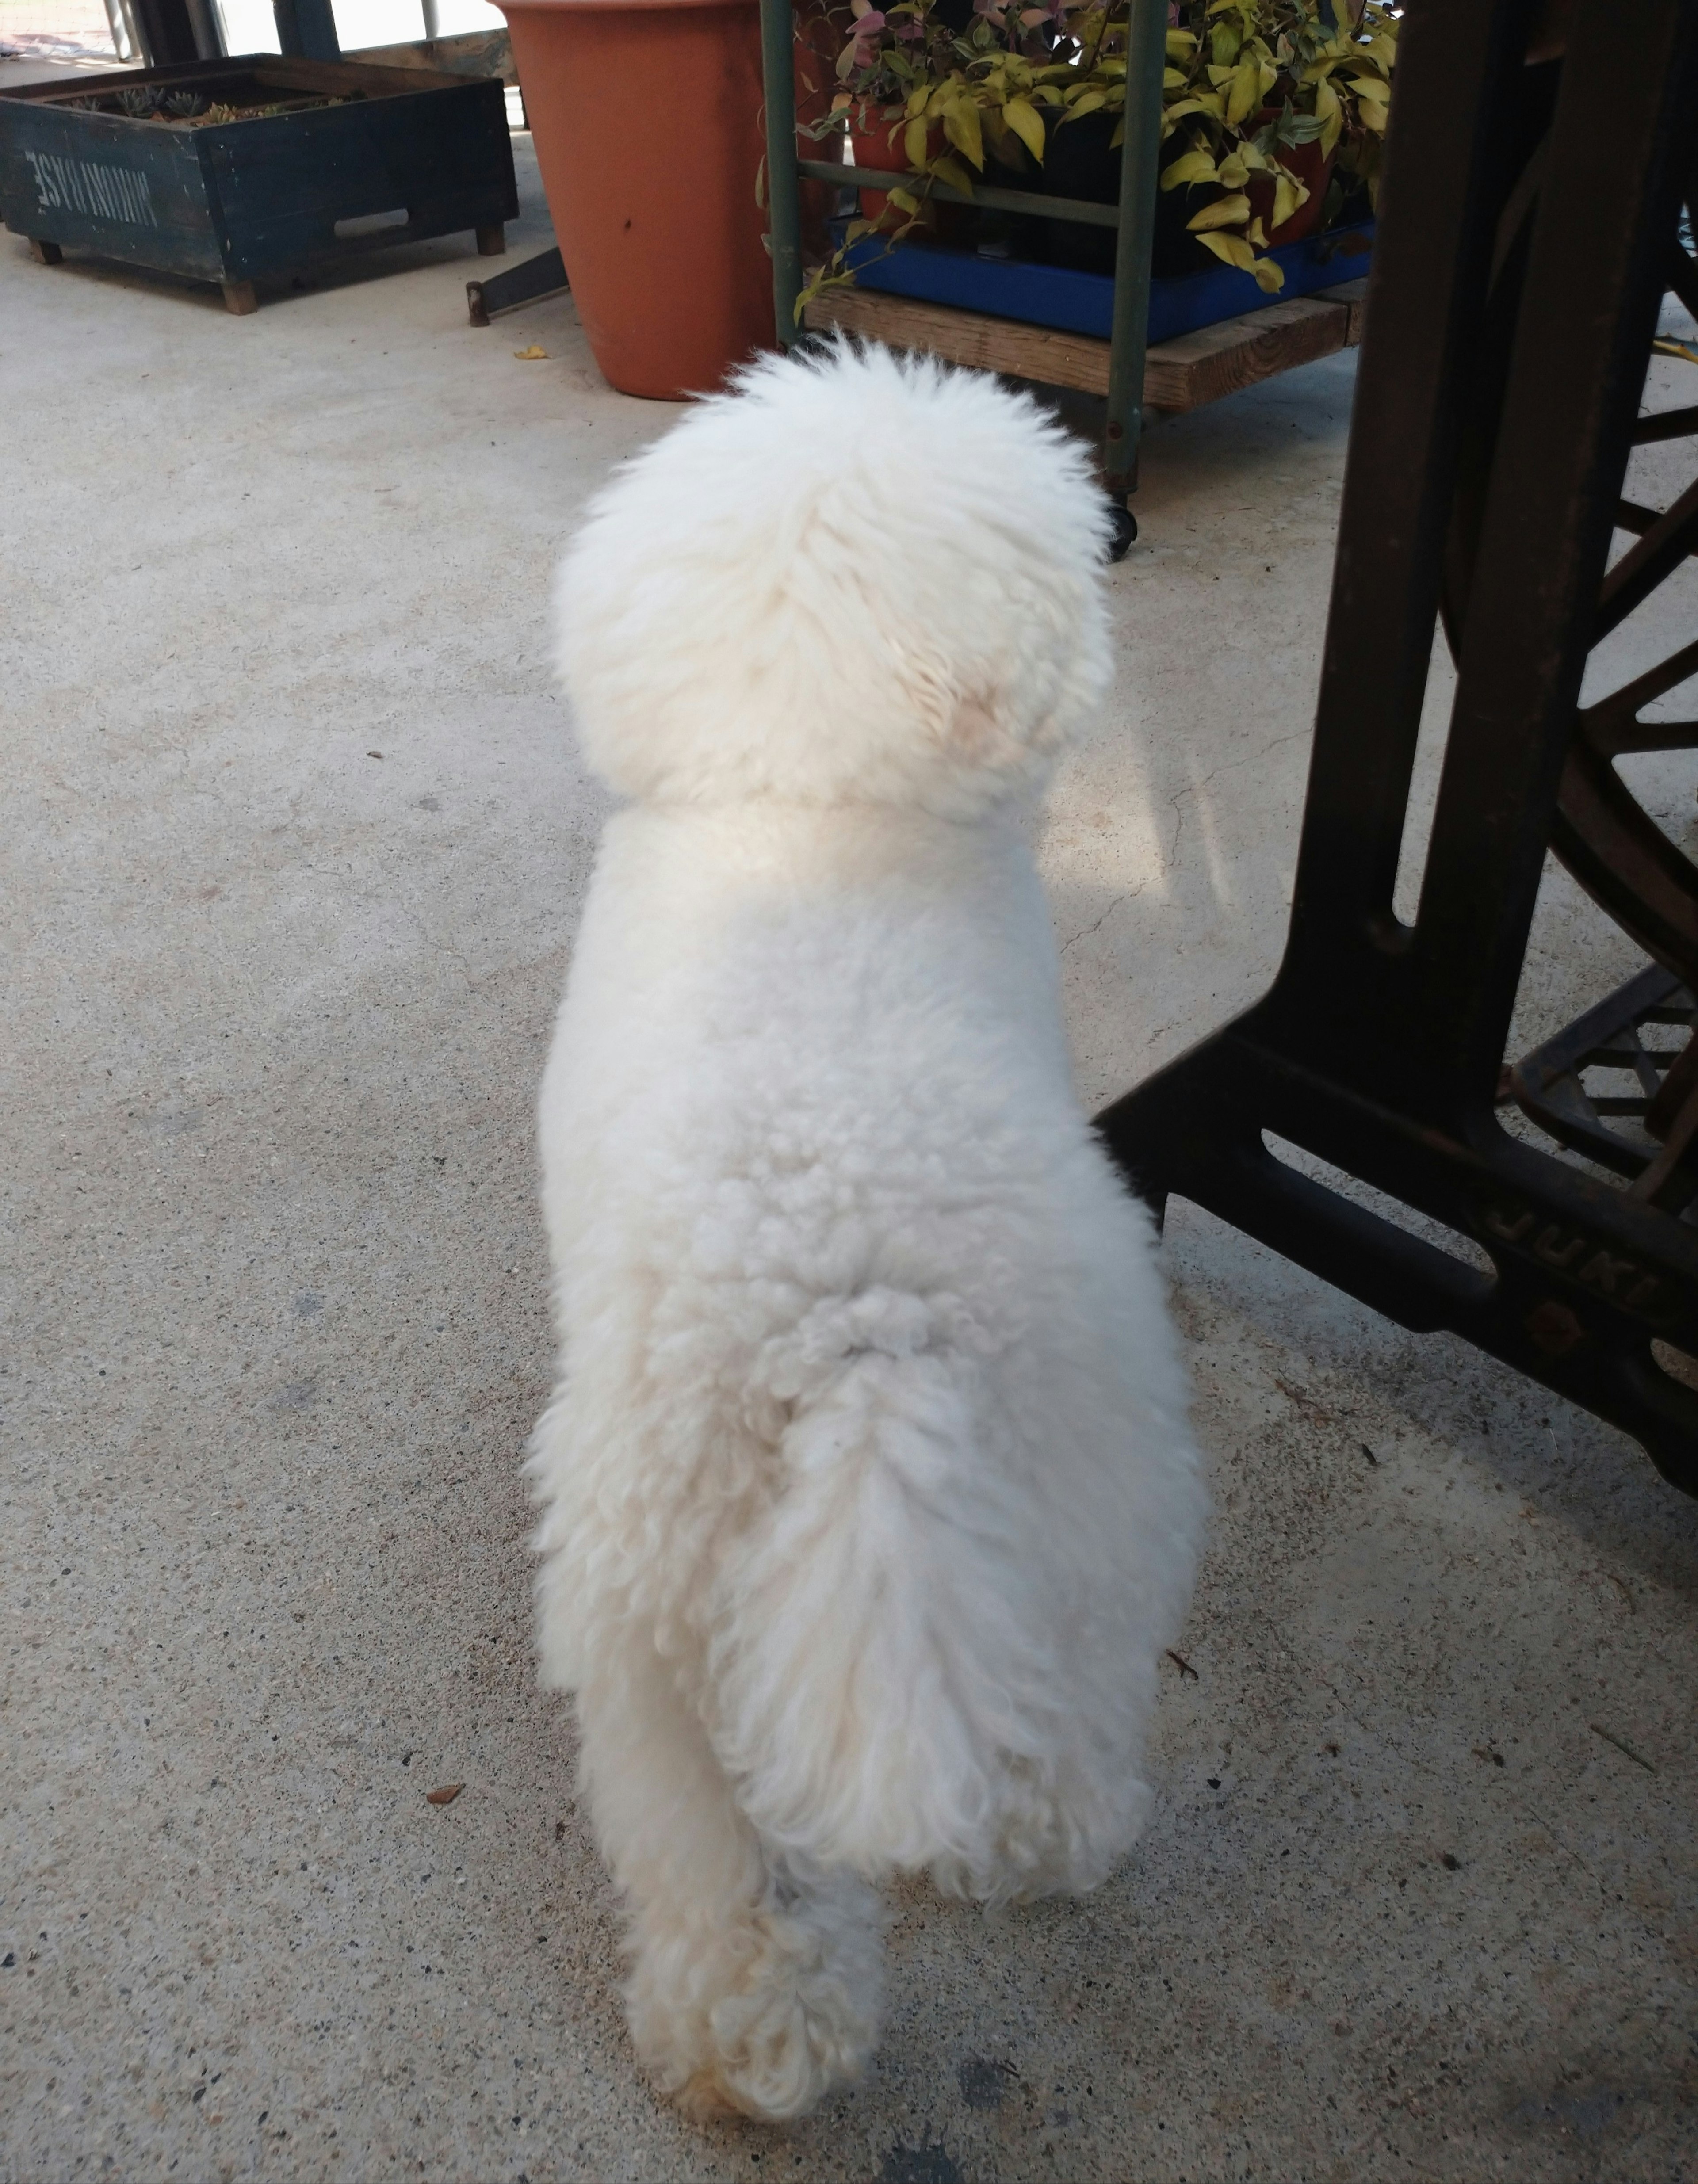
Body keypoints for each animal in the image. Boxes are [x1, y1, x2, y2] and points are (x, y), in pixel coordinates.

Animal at [528, 340, 1206, 2114]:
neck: (807, 787)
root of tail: (861, 1325)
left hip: (668, 1603)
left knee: (726, 1858)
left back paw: (749, 2037)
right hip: (1076, 1500)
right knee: (1046, 1723)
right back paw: (1027, 1857)